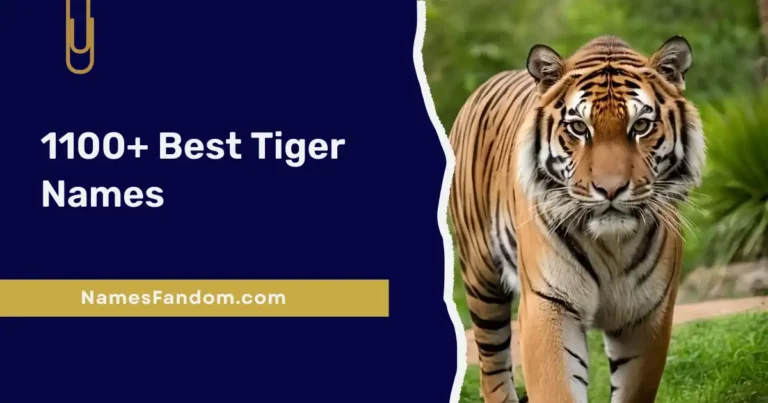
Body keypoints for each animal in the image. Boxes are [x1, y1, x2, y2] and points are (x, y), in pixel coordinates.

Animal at [447, 35, 705, 403]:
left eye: (641, 125)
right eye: (579, 128)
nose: (610, 189)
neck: (611, 245)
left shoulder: (647, 315)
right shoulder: (548, 305)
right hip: (481, 281)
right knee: (492, 368)